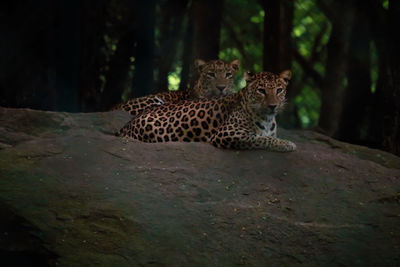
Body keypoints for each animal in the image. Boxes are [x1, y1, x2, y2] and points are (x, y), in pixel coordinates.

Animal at [114, 70, 296, 152]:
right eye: (261, 91)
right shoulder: (227, 134)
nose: (273, 105)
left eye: (279, 90)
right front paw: (287, 144)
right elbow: (261, 139)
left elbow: (266, 137)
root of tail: (125, 127)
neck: (267, 119)